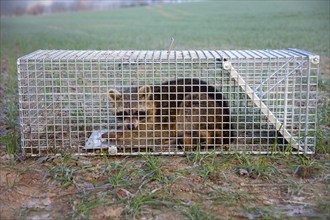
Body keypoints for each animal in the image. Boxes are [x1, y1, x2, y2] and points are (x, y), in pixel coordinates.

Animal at [102, 78, 231, 150]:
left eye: (138, 112)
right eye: (123, 113)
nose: (130, 126)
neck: (152, 99)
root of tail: (227, 122)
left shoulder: (156, 120)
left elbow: (144, 134)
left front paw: (119, 133)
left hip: (203, 107)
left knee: (185, 112)